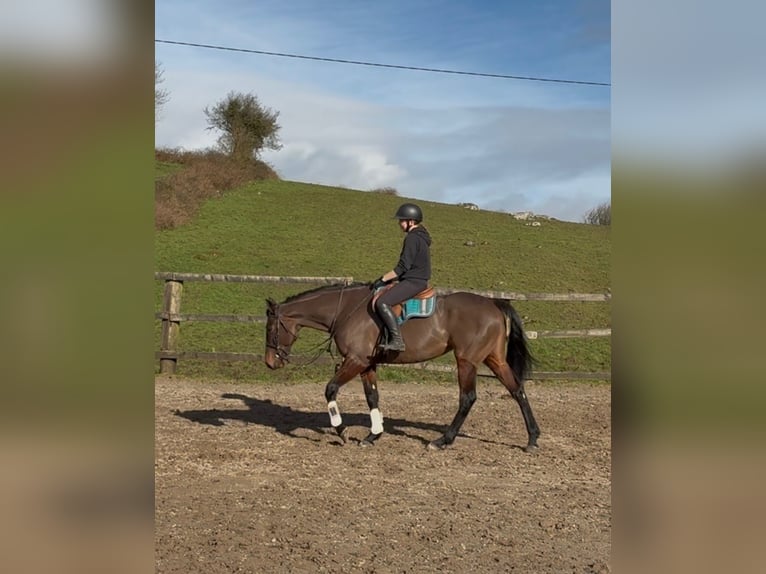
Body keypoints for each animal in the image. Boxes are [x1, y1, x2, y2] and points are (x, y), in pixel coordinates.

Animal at [264, 282, 540, 451]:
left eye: (270, 329)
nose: (270, 362)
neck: (345, 310)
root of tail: (494, 304)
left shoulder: (355, 360)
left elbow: (330, 389)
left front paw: (342, 431)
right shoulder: (367, 364)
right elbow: (372, 397)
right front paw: (373, 434)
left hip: (466, 362)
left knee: (468, 398)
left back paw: (442, 440)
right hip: (494, 359)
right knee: (517, 390)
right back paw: (532, 438)